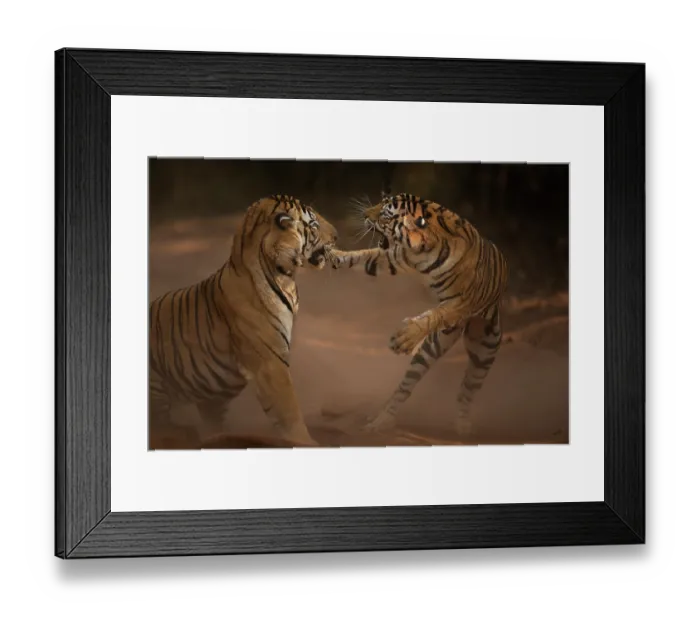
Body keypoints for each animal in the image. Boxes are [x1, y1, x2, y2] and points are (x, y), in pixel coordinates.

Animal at [149, 195, 338, 449]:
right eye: (314, 225)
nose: (337, 235)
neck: (286, 277)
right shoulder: (271, 363)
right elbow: (289, 411)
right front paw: (306, 442)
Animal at [329, 192, 508, 438]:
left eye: (385, 213)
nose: (364, 214)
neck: (423, 249)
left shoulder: (460, 302)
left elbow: (435, 315)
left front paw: (404, 338)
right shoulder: (394, 258)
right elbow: (362, 256)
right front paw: (332, 255)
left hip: (484, 352)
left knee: (466, 390)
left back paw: (462, 426)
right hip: (429, 353)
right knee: (405, 387)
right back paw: (381, 421)